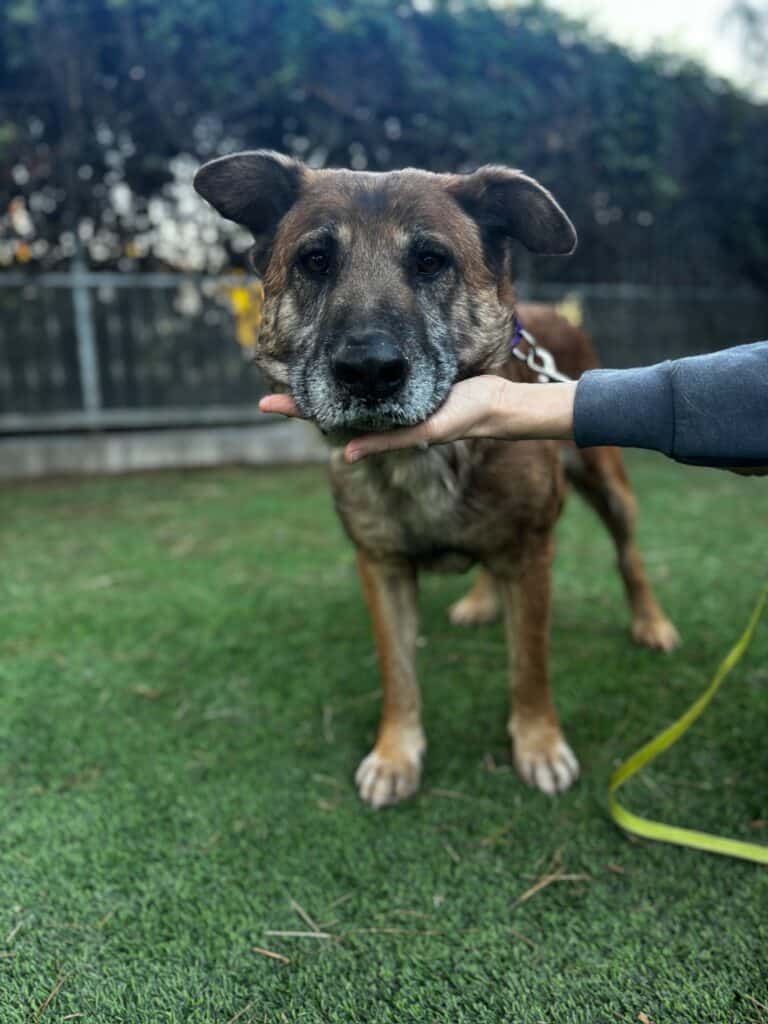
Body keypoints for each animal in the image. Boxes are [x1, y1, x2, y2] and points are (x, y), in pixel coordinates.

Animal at [195, 149, 684, 806]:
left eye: (430, 261)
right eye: (315, 261)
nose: (368, 371)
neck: (420, 458)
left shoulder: (531, 554)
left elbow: (530, 666)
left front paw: (539, 743)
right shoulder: (381, 566)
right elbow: (397, 673)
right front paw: (395, 754)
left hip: (609, 486)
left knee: (629, 555)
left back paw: (650, 622)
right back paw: (483, 601)